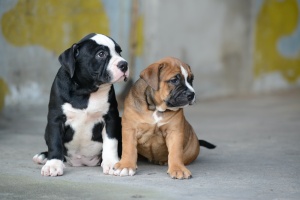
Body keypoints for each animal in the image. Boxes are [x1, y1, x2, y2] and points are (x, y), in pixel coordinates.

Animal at [32, 33, 129, 177]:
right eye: (101, 54)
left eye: (119, 52)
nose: (124, 64)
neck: (85, 91)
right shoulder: (56, 119)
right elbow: (55, 142)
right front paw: (53, 164)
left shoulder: (111, 118)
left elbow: (111, 142)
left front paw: (112, 163)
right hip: (47, 129)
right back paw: (44, 156)